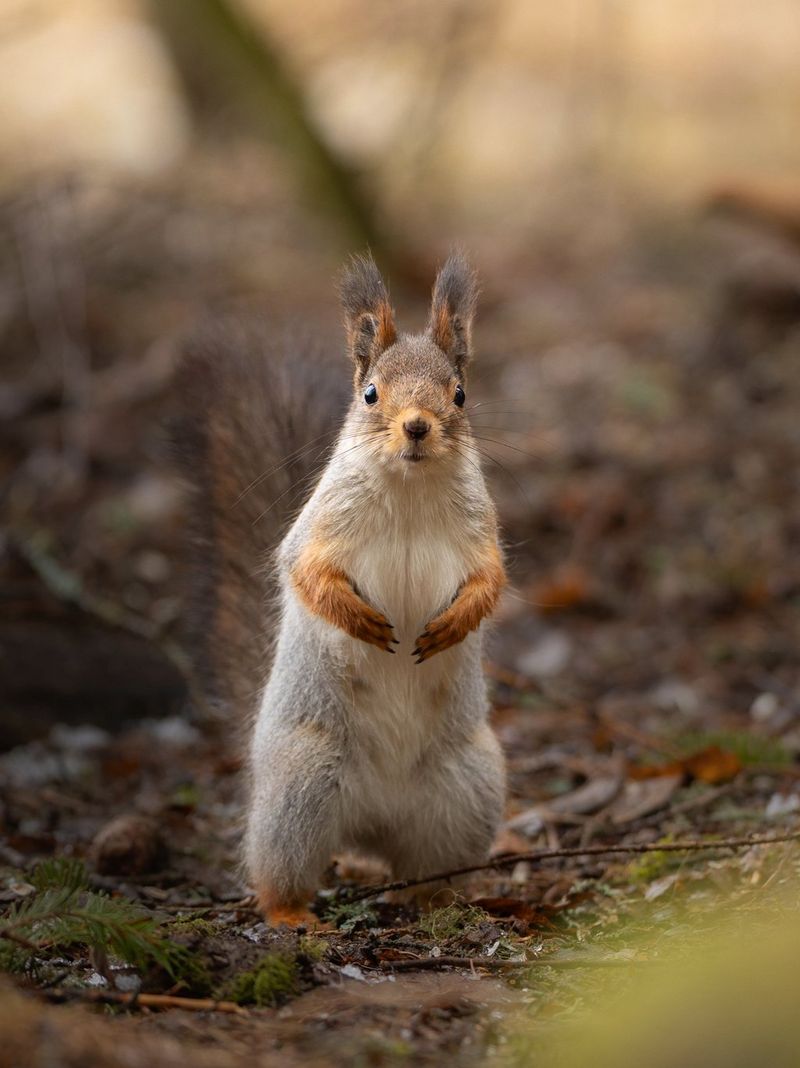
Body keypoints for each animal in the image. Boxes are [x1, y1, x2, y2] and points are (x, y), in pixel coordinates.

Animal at [176, 252, 507, 920]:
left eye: (460, 393)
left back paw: (440, 899)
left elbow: (491, 580)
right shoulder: (318, 530)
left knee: (429, 866)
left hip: (468, 786)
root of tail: (370, 828)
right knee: (279, 870)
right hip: (302, 783)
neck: (409, 489)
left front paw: (453, 625)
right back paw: (294, 915)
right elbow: (305, 573)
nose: (416, 427)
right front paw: (360, 622)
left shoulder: (481, 532)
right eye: (370, 392)